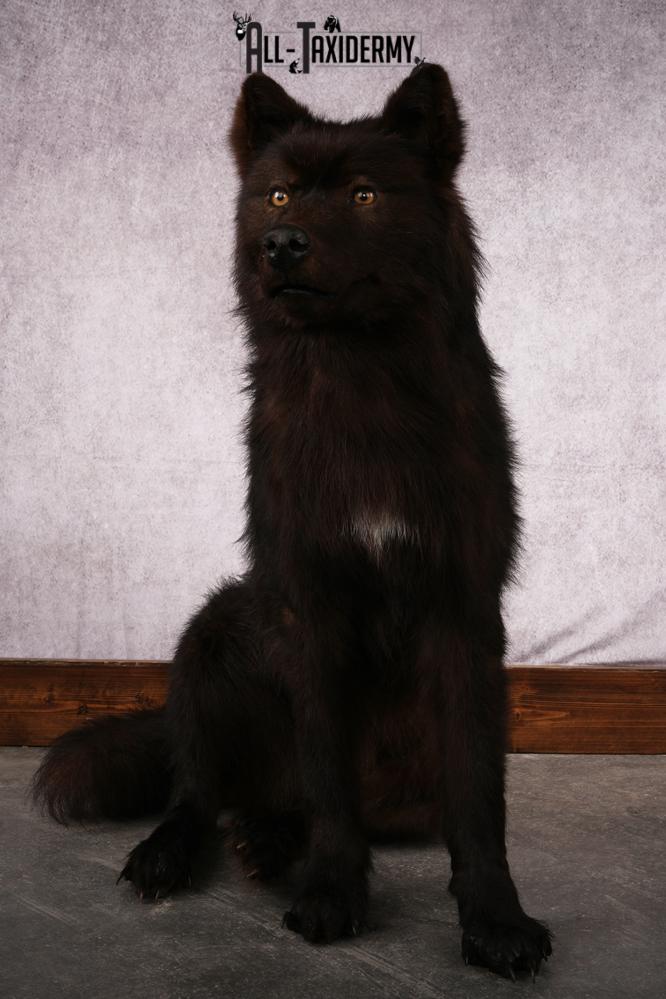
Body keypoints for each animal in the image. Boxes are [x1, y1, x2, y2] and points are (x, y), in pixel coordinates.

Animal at [33, 64, 553, 979]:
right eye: (277, 194)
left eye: (363, 194)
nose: (281, 244)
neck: (359, 382)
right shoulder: (306, 604)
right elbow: (325, 775)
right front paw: (333, 893)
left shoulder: (463, 610)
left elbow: (478, 799)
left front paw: (496, 919)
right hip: (214, 632)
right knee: (201, 790)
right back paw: (189, 849)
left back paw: (272, 837)